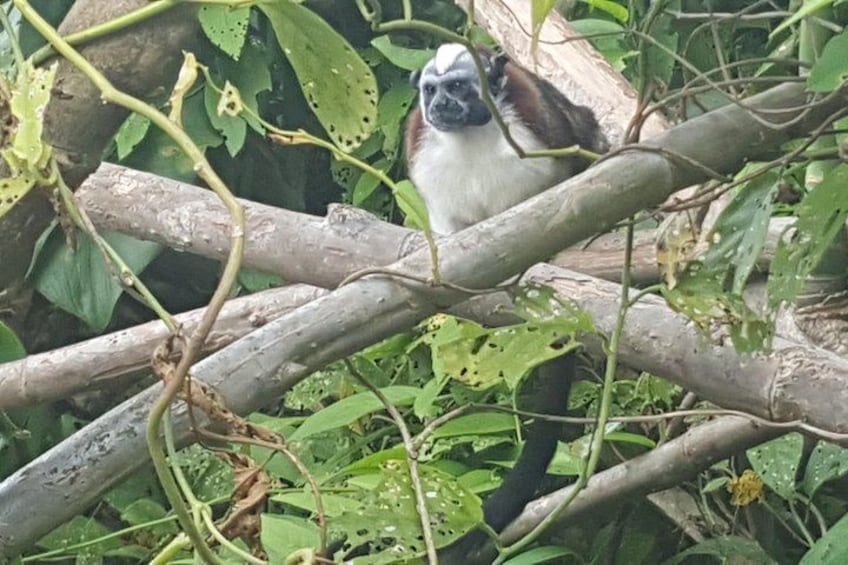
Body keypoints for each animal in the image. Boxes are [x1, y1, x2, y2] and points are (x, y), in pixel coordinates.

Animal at [404, 43, 609, 562]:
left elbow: (585, 144)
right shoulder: (421, 150)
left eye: (459, 87)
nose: (441, 106)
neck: (473, 136)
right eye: (431, 91)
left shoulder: (544, 124)